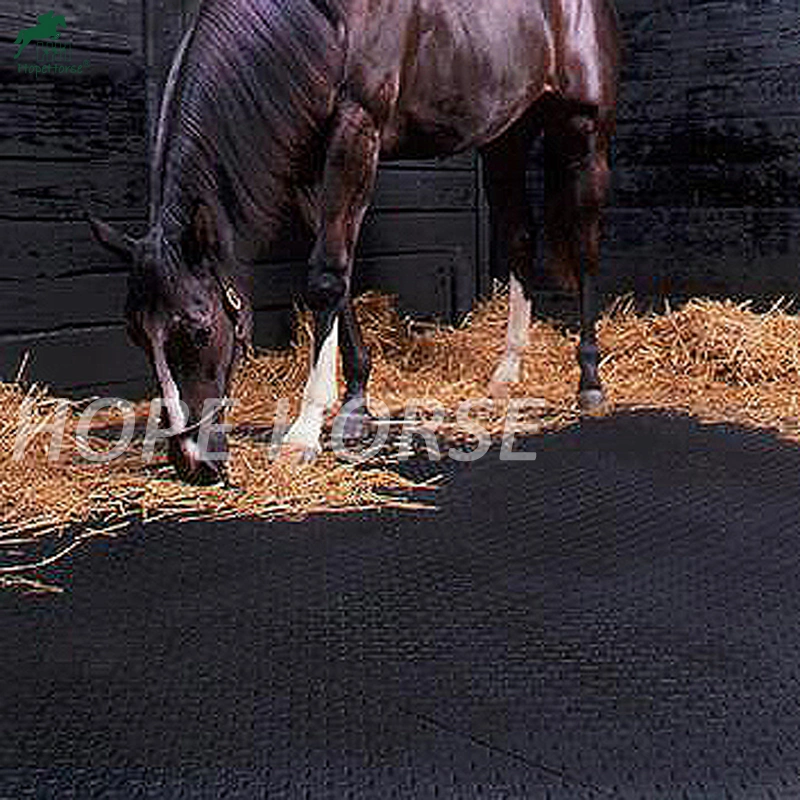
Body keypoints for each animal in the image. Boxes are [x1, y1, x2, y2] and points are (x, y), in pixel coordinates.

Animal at [92, 0, 620, 482]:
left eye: (200, 330)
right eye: (135, 334)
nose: (191, 462)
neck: (328, 20)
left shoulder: (356, 133)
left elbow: (326, 279)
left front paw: (304, 432)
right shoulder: (309, 171)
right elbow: (337, 278)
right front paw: (354, 406)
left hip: (585, 136)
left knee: (586, 251)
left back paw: (590, 383)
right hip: (505, 140)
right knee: (518, 238)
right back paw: (507, 372)